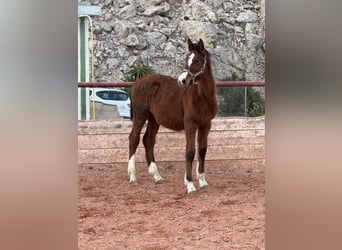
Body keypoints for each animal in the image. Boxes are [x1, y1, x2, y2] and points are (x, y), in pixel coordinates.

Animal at [127, 38, 218, 193]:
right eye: (186, 59)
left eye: (198, 60)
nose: (182, 81)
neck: (203, 97)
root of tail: (137, 82)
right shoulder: (190, 124)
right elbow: (190, 152)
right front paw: (190, 184)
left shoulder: (206, 124)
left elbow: (202, 150)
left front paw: (202, 181)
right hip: (140, 116)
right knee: (134, 139)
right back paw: (133, 177)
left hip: (154, 119)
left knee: (148, 140)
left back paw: (157, 176)